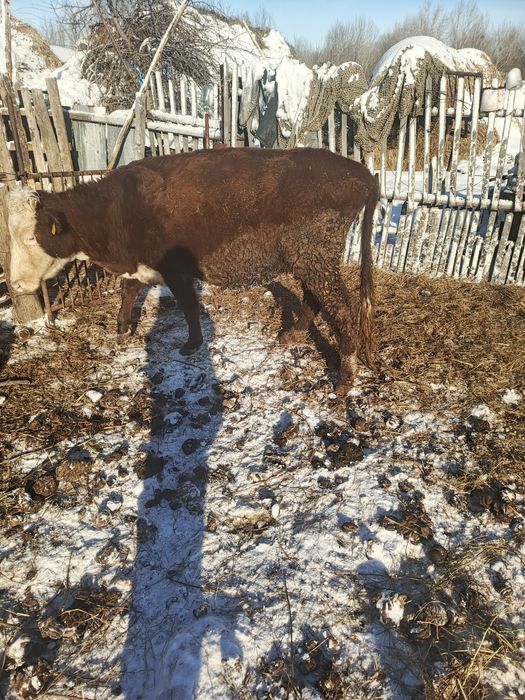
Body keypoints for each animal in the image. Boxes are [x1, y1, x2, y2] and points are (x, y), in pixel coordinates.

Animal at [7, 148, 379, 389]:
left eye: (31, 236)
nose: (14, 285)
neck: (118, 210)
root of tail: (358, 171)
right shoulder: (140, 262)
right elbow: (129, 290)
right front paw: (123, 328)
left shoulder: (174, 267)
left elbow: (187, 304)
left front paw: (192, 344)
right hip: (310, 258)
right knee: (315, 297)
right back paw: (295, 332)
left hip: (313, 254)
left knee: (342, 307)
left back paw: (345, 375)